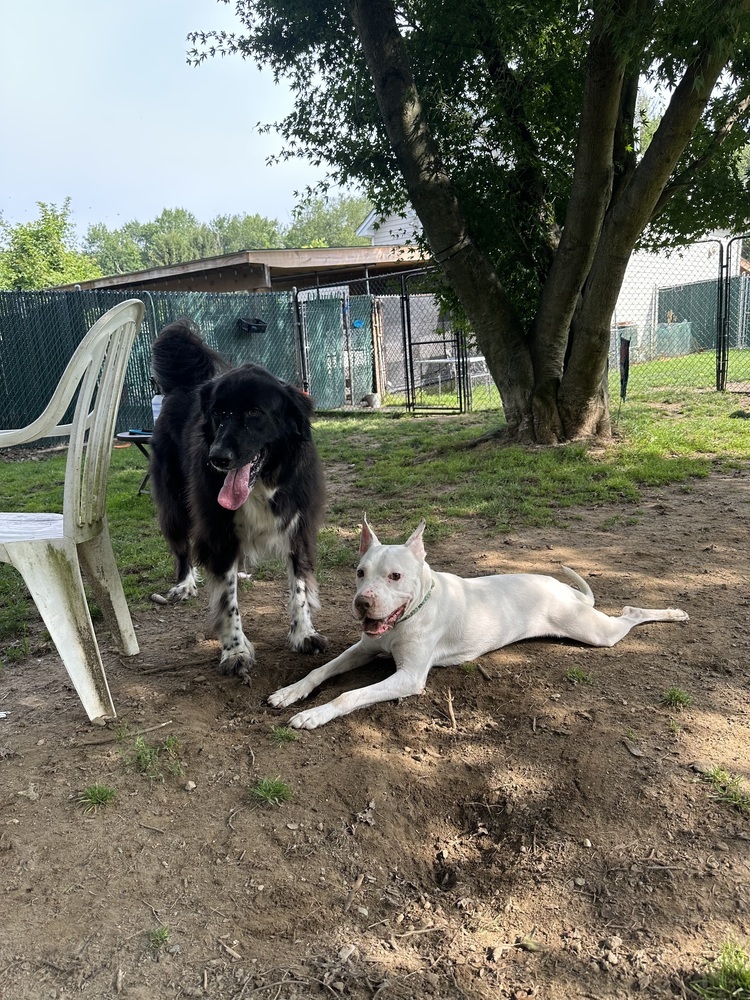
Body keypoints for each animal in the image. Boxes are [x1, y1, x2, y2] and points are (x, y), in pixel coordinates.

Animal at [149, 318, 328, 680]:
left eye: (255, 412)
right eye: (219, 414)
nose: (217, 458)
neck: (262, 482)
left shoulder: (298, 527)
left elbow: (299, 588)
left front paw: (304, 633)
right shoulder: (217, 532)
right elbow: (227, 602)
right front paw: (234, 651)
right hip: (175, 505)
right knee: (182, 548)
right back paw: (185, 583)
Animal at [268, 517, 689, 728]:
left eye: (395, 576)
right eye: (359, 573)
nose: (362, 603)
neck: (410, 614)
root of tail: (565, 590)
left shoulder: (408, 677)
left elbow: (349, 695)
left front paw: (314, 714)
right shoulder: (364, 647)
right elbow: (321, 670)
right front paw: (290, 693)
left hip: (596, 631)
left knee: (631, 614)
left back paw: (674, 614)